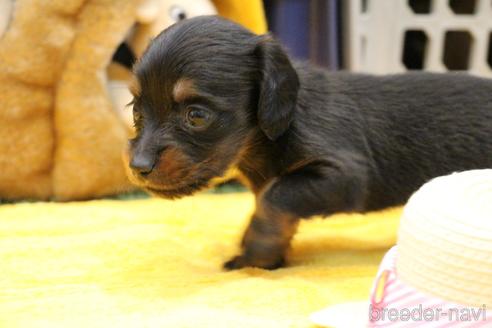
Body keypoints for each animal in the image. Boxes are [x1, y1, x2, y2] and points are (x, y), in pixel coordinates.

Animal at [126, 15, 492, 270]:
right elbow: (268, 202)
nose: (137, 167)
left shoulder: (346, 175)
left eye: (197, 115)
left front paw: (257, 255)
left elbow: (273, 198)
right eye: (136, 111)